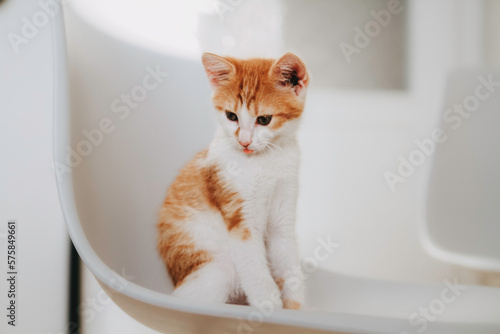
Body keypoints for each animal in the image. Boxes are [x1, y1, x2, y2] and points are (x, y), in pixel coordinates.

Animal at [159, 52, 308, 310]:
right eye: (231, 116)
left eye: (264, 119)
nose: (244, 141)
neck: (265, 161)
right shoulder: (239, 217)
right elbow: (256, 272)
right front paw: (269, 308)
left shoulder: (284, 205)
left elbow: (289, 265)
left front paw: (297, 308)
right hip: (214, 270)